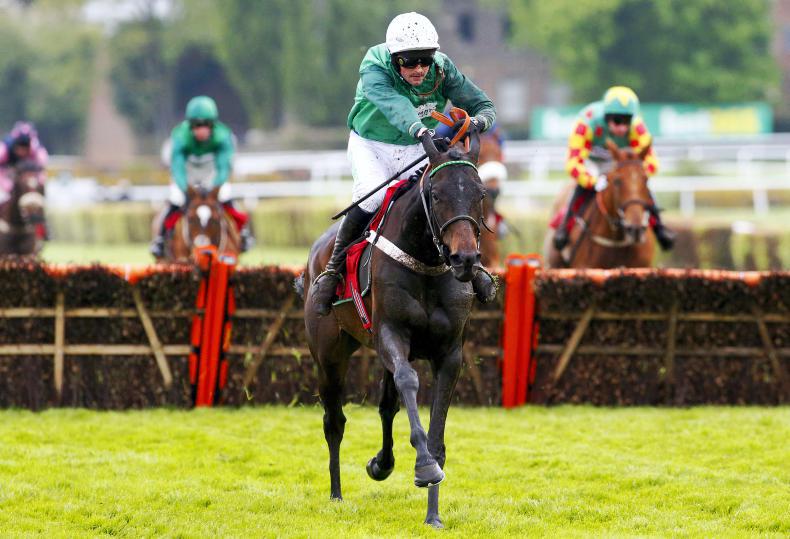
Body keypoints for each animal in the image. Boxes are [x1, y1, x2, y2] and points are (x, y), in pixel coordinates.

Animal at [300, 124, 486, 528]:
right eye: (436, 194)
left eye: (481, 193)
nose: (464, 259)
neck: (427, 260)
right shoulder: (390, 334)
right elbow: (408, 382)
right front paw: (425, 467)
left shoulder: (449, 353)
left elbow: (434, 428)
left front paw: (433, 512)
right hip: (329, 355)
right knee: (334, 420)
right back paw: (336, 493)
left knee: (387, 405)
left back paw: (381, 464)